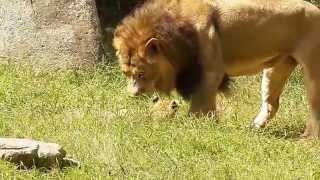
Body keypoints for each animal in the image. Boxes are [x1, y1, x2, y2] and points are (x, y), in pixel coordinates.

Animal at [114, 0, 320, 139]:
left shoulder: (210, 71)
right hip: (276, 67)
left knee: (314, 106)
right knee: (272, 103)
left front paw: (196, 126)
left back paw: (307, 139)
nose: (132, 94)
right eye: (126, 73)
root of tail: (316, 8)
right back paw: (253, 128)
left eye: (141, 73)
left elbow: (201, 103)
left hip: (312, 69)